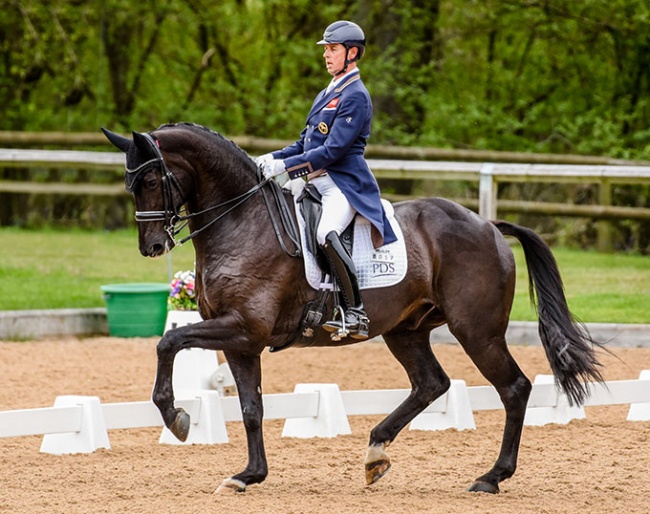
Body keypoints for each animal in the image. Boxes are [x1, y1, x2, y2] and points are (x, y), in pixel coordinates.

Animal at [101, 122, 604, 494]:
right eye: (130, 184)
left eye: (150, 180)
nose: (152, 246)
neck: (242, 222)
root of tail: (488, 225)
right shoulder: (241, 340)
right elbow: (250, 407)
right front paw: (248, 475)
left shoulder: (243, 328)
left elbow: (169, 341)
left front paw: (177, 418)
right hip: (406, 330)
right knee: (432, 384)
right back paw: (376, 454)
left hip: (477, 331)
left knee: (514, 388)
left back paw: (491, 477)